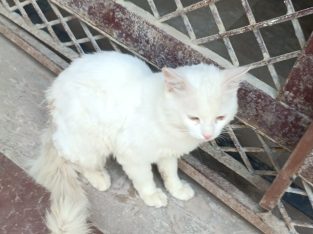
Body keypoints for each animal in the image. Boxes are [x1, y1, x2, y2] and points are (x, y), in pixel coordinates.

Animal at [29, 51, 249, 234]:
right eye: (193, 118)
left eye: (220, 118)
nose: (208, 135)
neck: (166, 118)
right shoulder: (132, 155)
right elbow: (145, 179)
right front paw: (152, 195)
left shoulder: (168, 153)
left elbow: (170, 173)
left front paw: (177, 189)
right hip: (90, 140)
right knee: (77, 161)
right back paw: (99, 177)